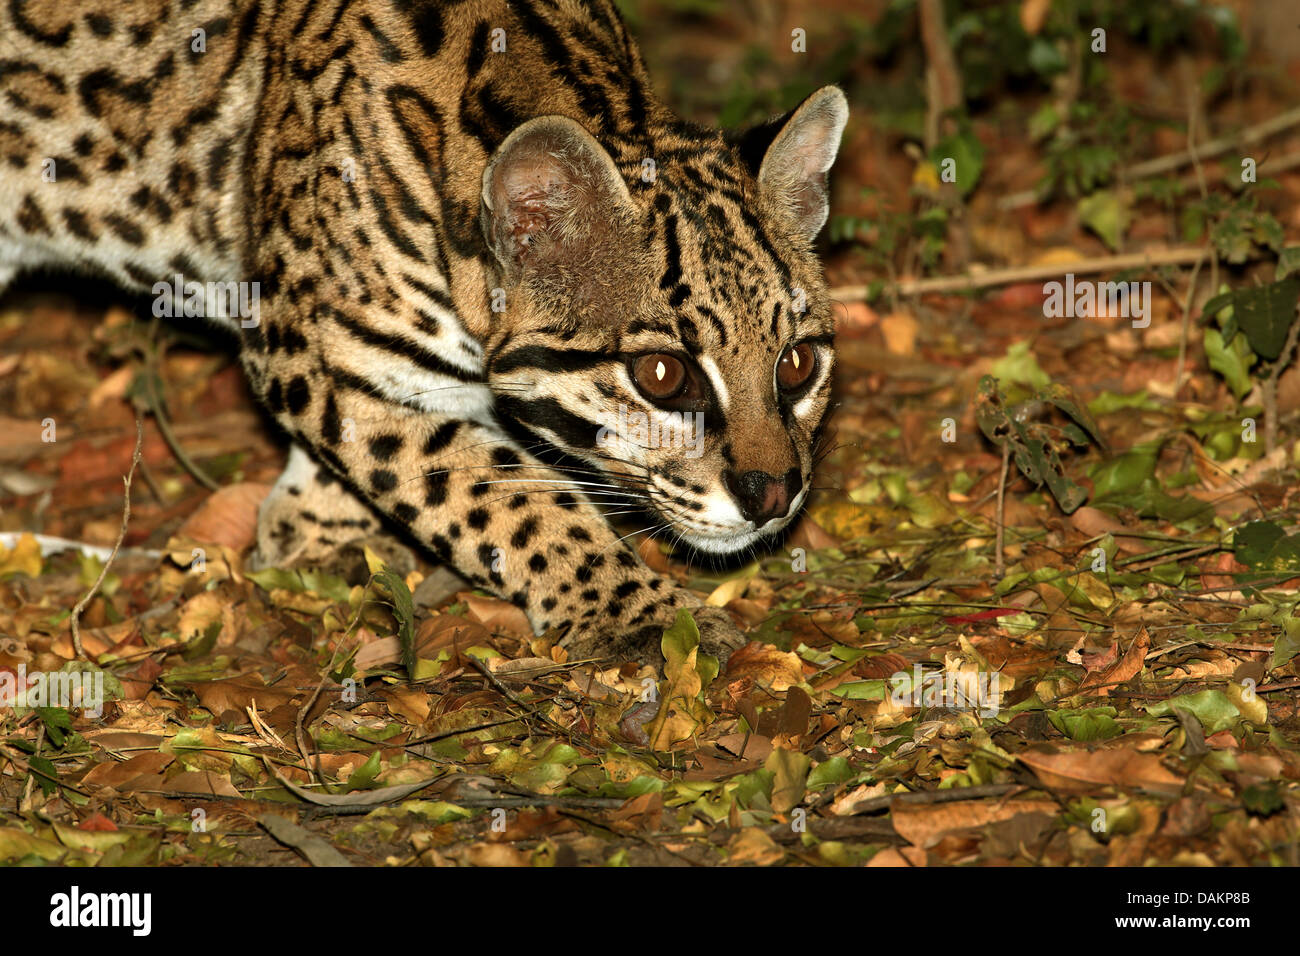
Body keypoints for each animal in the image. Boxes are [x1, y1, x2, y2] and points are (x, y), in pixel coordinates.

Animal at [0, 0, 847, 658]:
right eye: (663, 377)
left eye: (799, 363)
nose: (773, 495)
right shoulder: (319, 354)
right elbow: (501, 491)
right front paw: (637, 612)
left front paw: (310, 526)